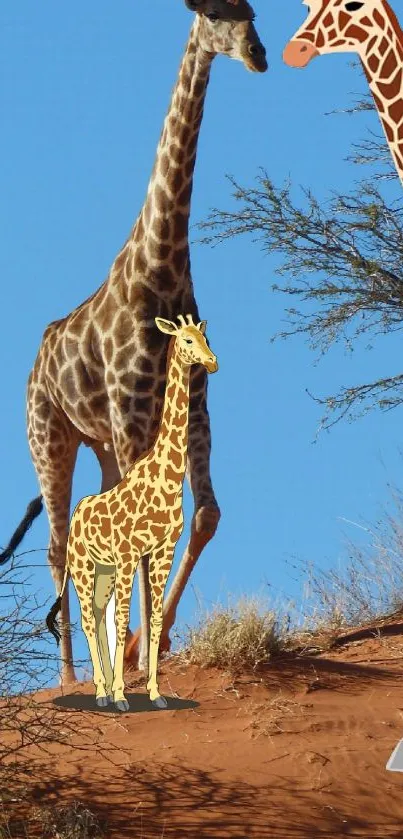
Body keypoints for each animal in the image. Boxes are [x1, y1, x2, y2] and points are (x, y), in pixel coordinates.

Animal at [1, 0, 270, 688]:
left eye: (253, 11)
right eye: (216, 12)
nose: (258, 54)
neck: (163, 267)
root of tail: (35, 364)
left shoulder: (195, 406)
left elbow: (203, 514)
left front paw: (150, 642)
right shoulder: (129, 412)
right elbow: (144, 531)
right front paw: (132, 652)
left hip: (100, 443)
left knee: (96, 525)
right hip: (51, 437)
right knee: (59, 543)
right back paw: (73, 678)